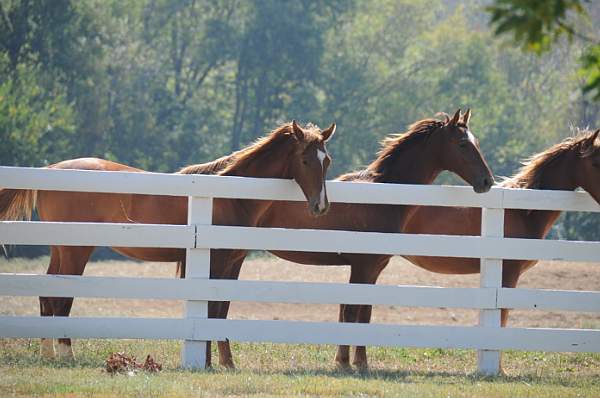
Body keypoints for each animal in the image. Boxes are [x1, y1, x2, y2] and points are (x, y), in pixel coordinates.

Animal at [0, 119, 336, 362]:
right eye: (305, 160)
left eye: (327, 160)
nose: (321, 206)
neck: (230, 196)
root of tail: (50, 169)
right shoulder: (215, 262)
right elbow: (211, 311)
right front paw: (209, 362)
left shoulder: (232, 264)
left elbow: (221, 311)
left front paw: (226, 362)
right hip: (75, 251)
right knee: (61, 298)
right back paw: (66, 354)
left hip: (61, 249)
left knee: (47, 295)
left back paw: (49, 354)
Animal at [180, 109, 494, 370]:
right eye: (462, 144)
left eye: (476, 142)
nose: (487, 182)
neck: (383, 195)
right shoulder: (363, 265)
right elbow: (354, 311)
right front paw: (350, 362)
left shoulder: (374, 268)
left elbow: (360, 312)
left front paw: (355, 361)